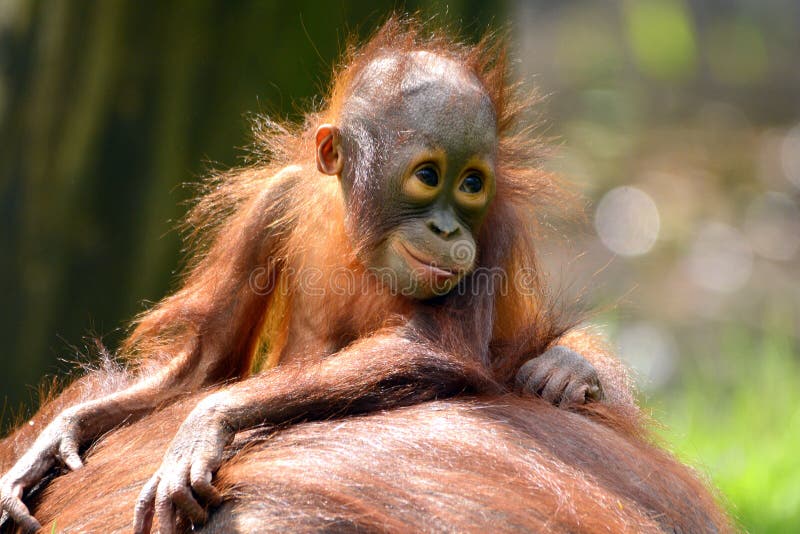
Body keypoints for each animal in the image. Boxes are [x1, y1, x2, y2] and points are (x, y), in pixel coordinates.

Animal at [1, 17, 635, 533]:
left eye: (473, 183)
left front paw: (208, 422)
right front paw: (58, 436)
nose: (449, 230)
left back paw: (563, 369)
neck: (358, 237)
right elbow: (205, 364)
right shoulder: (275, 203)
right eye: (429, 175)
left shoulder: (494, 232)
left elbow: (431, 347)